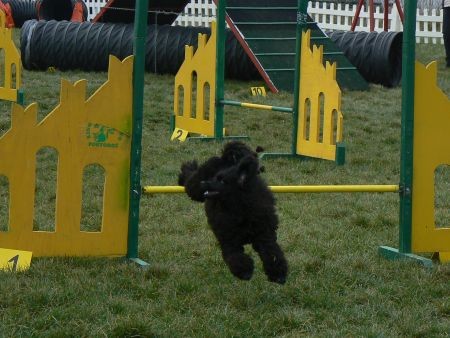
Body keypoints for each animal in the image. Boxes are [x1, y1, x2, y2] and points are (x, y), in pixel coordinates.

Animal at [178, 141, 288, 284]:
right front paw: (245, 272)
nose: (204, 183)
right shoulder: (229, 241)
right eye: (216, 177)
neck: (240, 207)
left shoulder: (264, 235)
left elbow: (272, 253)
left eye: (221, 180)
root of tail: (225, 159)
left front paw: (278, 274)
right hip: (195, 188)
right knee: (189, 179)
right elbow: (235, 257)